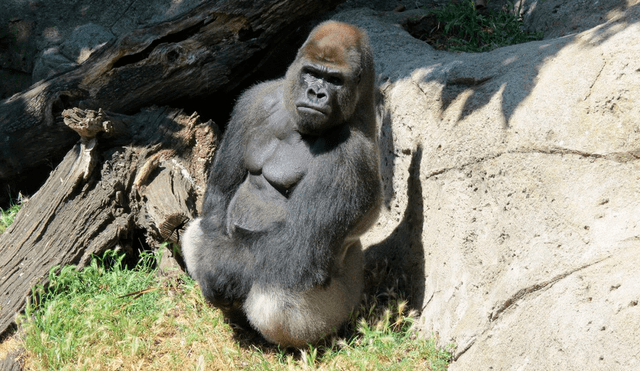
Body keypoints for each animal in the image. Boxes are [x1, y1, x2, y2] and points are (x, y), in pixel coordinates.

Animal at [180, 20, 380, 348]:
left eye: (335, 80)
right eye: (312, 73)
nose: (316, 93)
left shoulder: (350, 158)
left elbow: (297, 245)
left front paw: (218, 273)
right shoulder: (255, 100)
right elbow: (219, 199)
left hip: (345, 305)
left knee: (277, 292)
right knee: (199, 233)